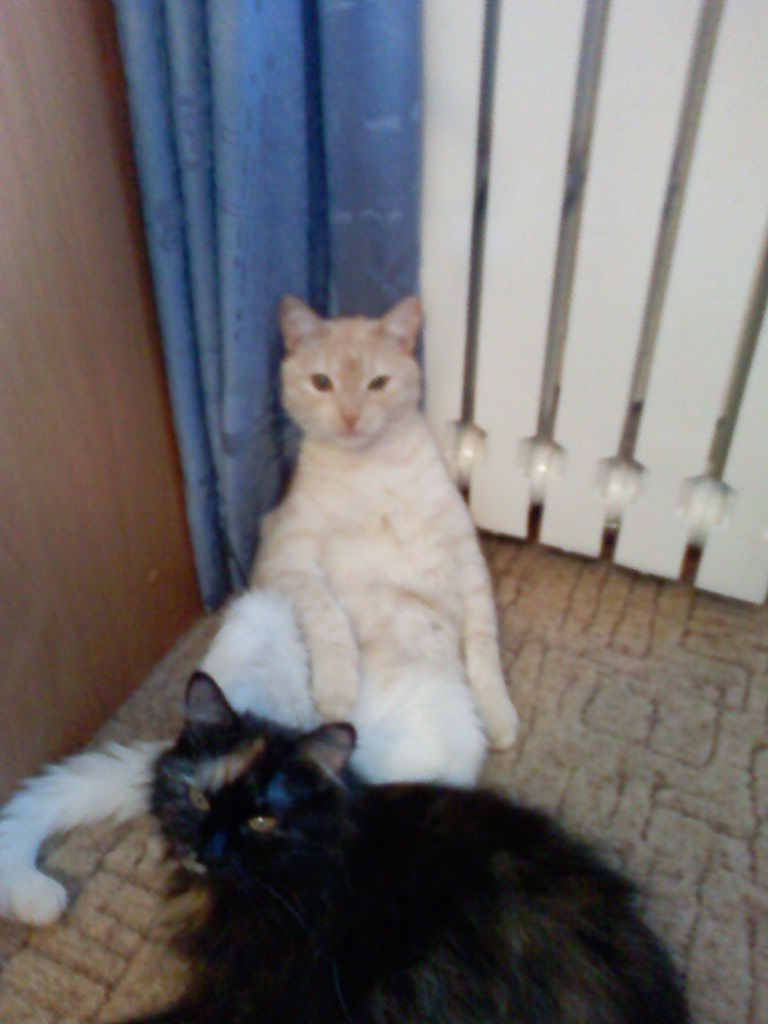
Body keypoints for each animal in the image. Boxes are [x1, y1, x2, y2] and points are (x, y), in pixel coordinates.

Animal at [0, 295, 517, 926]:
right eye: (322, 383)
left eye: (377, 383)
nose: (349, 417)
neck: (375, 475)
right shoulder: (285, 563)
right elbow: (332, 623)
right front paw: (338, 691)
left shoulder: (470, 567)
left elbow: (485, 652)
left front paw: (503, 717)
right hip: (260, 610)